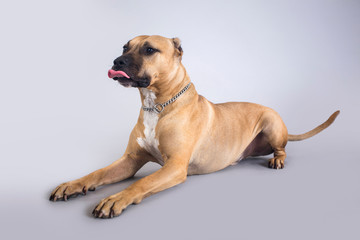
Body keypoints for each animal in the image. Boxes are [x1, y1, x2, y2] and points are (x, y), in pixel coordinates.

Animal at [49, 35, 338, 218]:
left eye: (149, 50)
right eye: (125, 46)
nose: (117, 61)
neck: (156, 105)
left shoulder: (175, 166)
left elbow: (142, 183)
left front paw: (115, 199)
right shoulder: (130, 160)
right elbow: (97, 173)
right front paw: (73, 184)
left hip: (271, 122)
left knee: (282, 149)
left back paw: (278, 159)